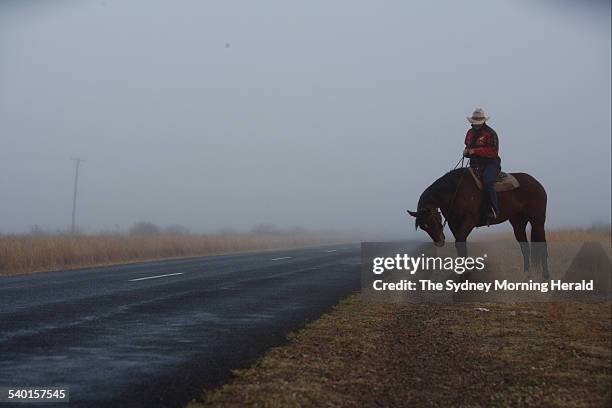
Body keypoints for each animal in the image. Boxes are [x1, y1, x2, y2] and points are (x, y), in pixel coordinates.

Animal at [406, 167, 548, 278]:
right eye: (423, 227)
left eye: (432, 220)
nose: (439, 242)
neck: (454, 190)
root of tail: (537, 184)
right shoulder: (454, 223)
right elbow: (460, 243)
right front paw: (462, 270)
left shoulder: (469, 220)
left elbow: (460, 242)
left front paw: (464, 272)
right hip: (518, 223)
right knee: (525, 247)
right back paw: (526, 274)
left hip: (537, 221)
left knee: (543, 244)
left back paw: (546, 276)